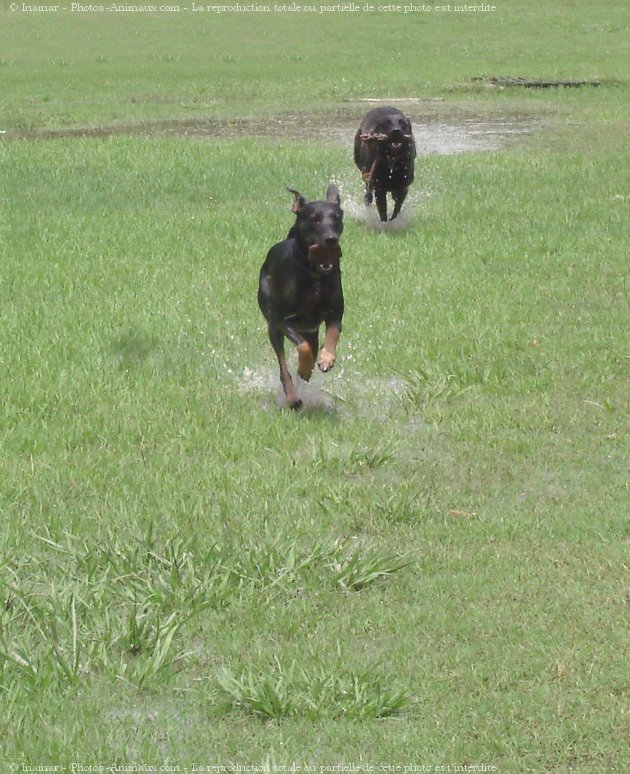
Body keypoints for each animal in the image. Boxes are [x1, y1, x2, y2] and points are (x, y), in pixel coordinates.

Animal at [258, 186, 346, 412]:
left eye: (337, 217)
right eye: (315, 219)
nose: (331, 239)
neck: (314, 276)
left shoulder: (335, 312)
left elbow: (333, 332)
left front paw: (326, 359)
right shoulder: (283, 319)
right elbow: (302, 347)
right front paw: (305, 368)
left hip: (311, 330)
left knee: (312, 344)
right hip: (273, 326)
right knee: (284, 366)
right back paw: (293, 397)